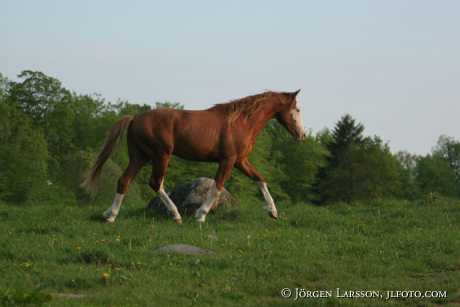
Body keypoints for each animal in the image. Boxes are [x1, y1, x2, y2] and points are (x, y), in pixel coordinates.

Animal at [82, 90, 306, 225]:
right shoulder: (228, 160)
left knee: (124, 180)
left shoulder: (240, 161)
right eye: (297, 109)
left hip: (140, 157)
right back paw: (176, 215)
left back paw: (110, 215)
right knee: (156, 183)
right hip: (160, 155)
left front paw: (273, 212)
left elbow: (260, 179)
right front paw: (201, 215)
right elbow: (217, 187)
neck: (241, 122)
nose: (302, 135)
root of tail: (135, 117)